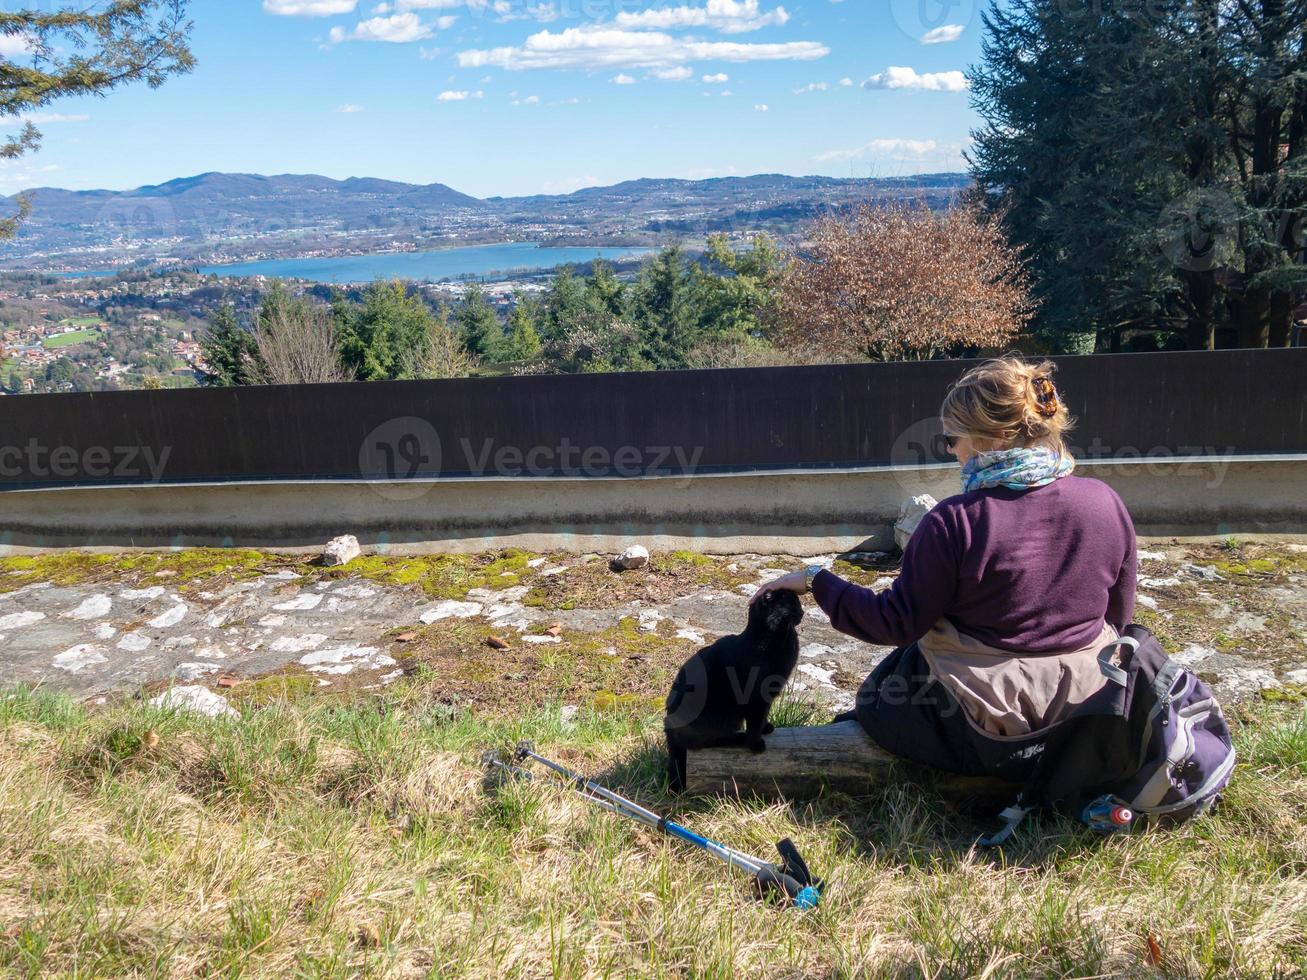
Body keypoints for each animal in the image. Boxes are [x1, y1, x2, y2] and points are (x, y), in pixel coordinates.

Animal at [669, 590, 799, 789]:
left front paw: (766, 727)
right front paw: (755, 744)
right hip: (725, 715)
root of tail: (667, 723)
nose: (802, 613)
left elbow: (763, 716)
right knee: (708, 741)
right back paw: (739, 738)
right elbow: (754, 723)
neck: (767, 640)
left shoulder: (767, 698)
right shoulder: (756, 698)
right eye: (792, 605)